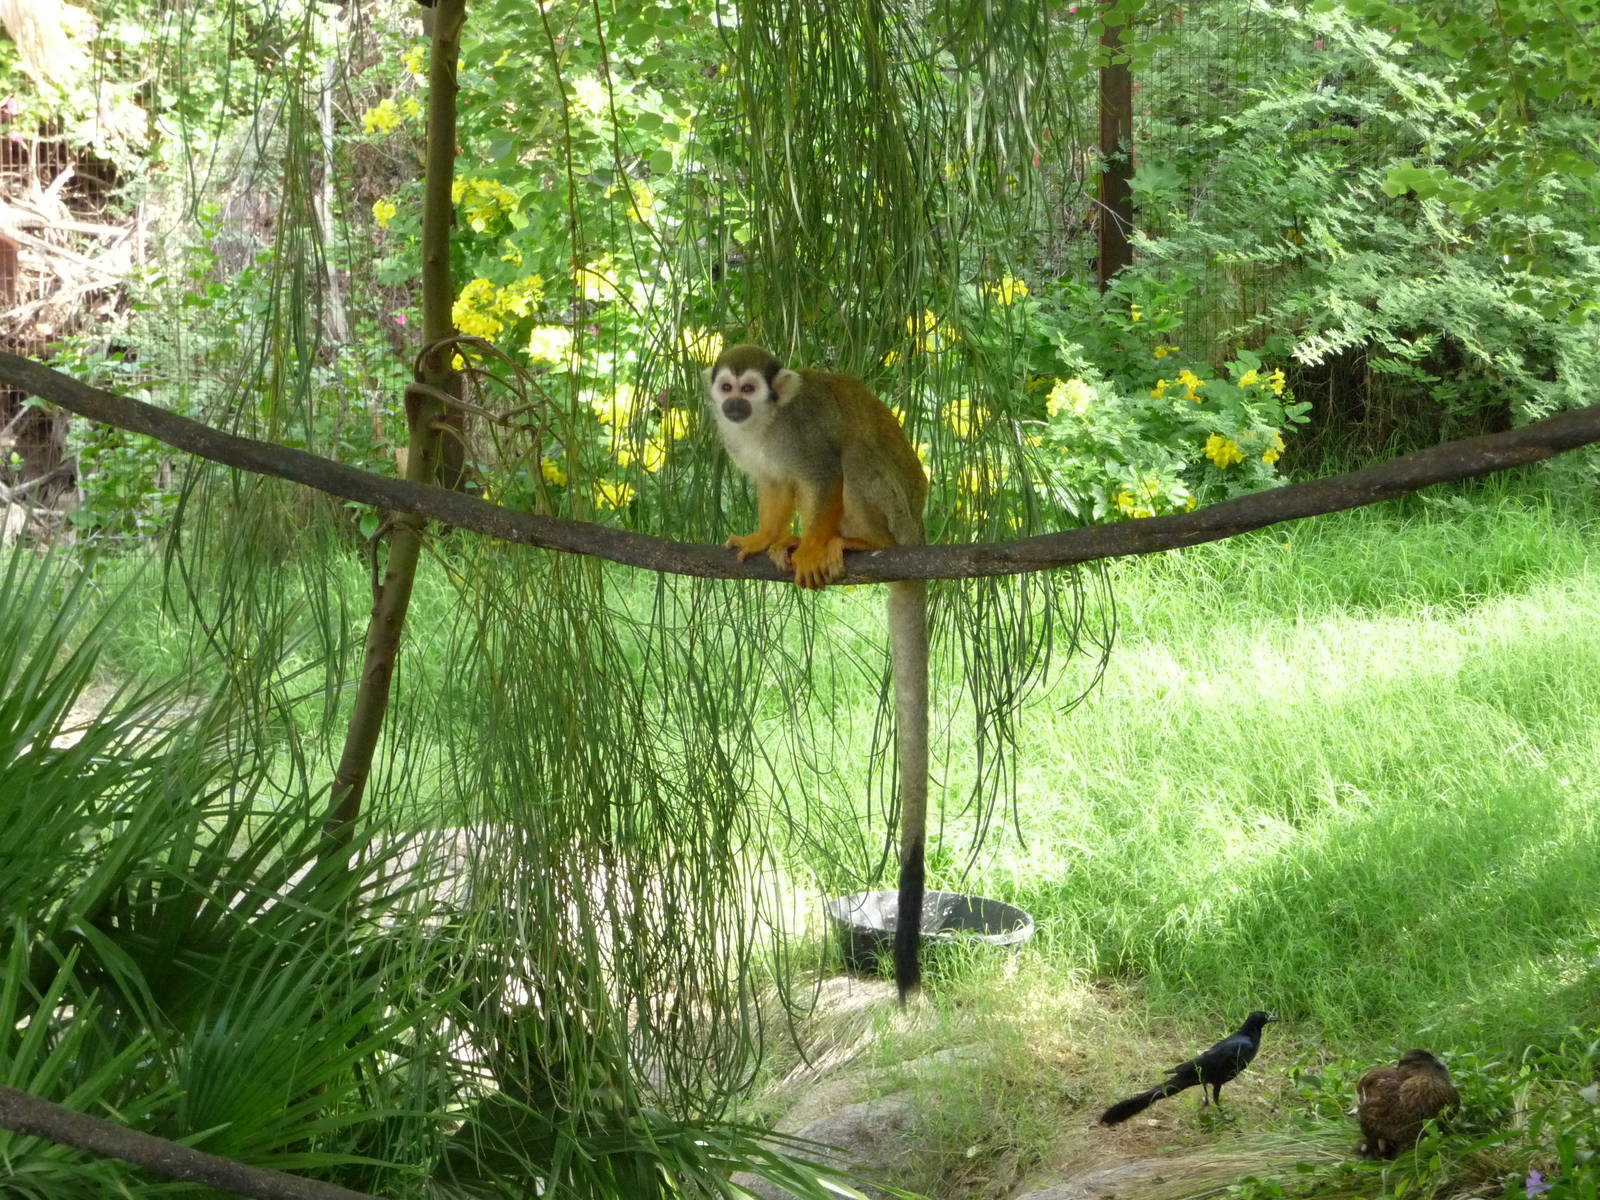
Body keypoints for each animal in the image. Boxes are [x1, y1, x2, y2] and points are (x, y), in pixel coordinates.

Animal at [704, 344, 930, 1002]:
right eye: (727, 387)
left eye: (750, 388)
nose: (732, 405)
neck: (765, 425)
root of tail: (921, 530)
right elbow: (776, 485)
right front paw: (765, 538)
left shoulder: (802, 434)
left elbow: (823, 475)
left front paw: (808, 546)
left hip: (897, 511)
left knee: (853, 454)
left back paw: (853, 542)